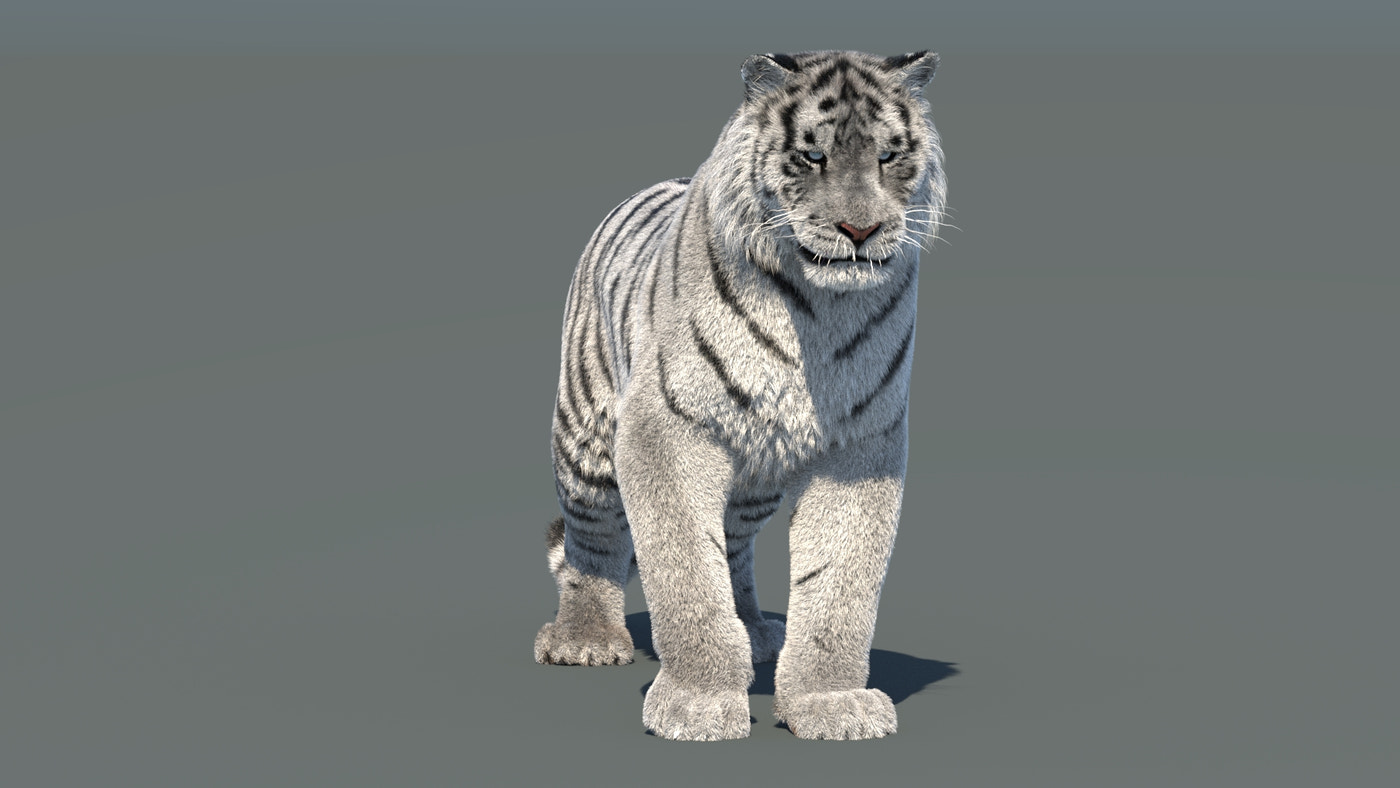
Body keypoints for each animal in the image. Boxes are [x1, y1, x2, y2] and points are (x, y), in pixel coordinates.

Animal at [535, 50, 946, 741]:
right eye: (812, 156)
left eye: (889, 156)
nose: (860, 229)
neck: (817, 309)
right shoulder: (665, 431)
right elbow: (685, 570)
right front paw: (696, 704)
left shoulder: (862, 445)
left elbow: (838, 583)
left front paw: (830, 704)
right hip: (586, 438)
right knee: (593, 539)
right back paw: (585, 638)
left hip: (755, 479)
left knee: (731, 541)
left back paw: (753, 630)